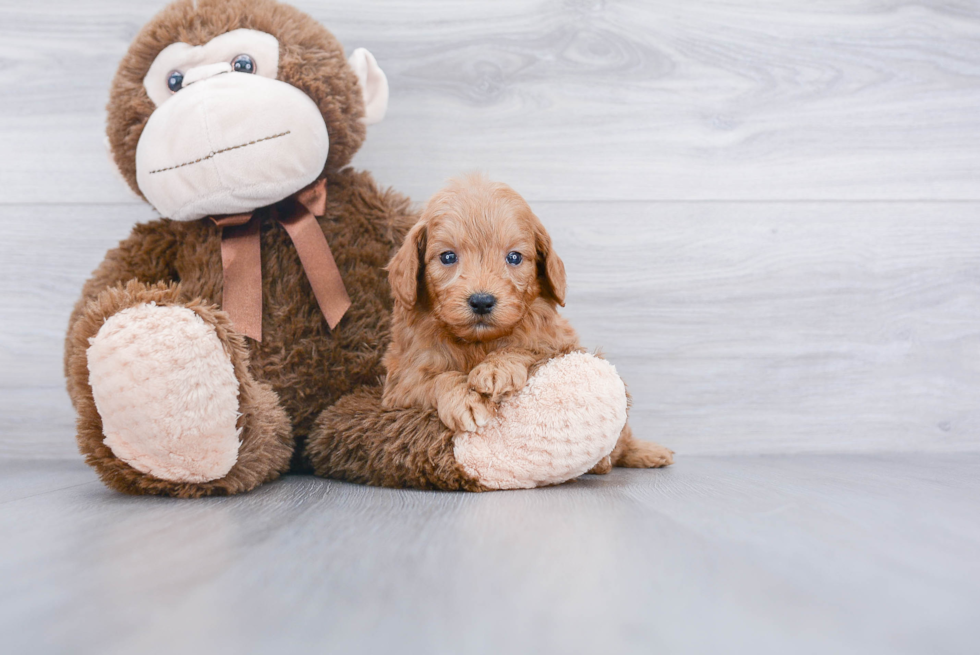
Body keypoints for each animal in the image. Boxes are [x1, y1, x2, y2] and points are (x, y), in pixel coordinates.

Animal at [382, 174, 672, 472]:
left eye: (514, 257)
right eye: (448, 257)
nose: (482, 301)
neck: (478, 342)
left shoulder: (560, 344)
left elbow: (528, 348)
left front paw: (497, 368)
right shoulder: (399, 387)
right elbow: (436, 378)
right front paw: (465, 399)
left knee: (623, 440)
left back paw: (644, 453)